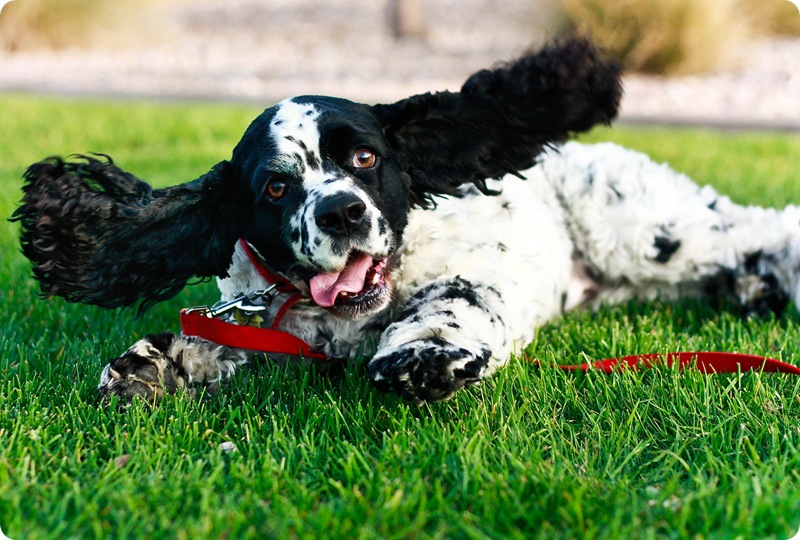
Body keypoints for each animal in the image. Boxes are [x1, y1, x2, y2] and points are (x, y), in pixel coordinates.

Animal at [12, 38, 800, 402]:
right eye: (275, 187)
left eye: (364, 156)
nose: (340, 211)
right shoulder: (266, 321)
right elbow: (212, 335)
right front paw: (150, 365)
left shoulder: (468, 275)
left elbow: (448, 307)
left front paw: (422, 356)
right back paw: (753, 290)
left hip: (641, 231)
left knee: (755, 229)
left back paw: (773, 276)